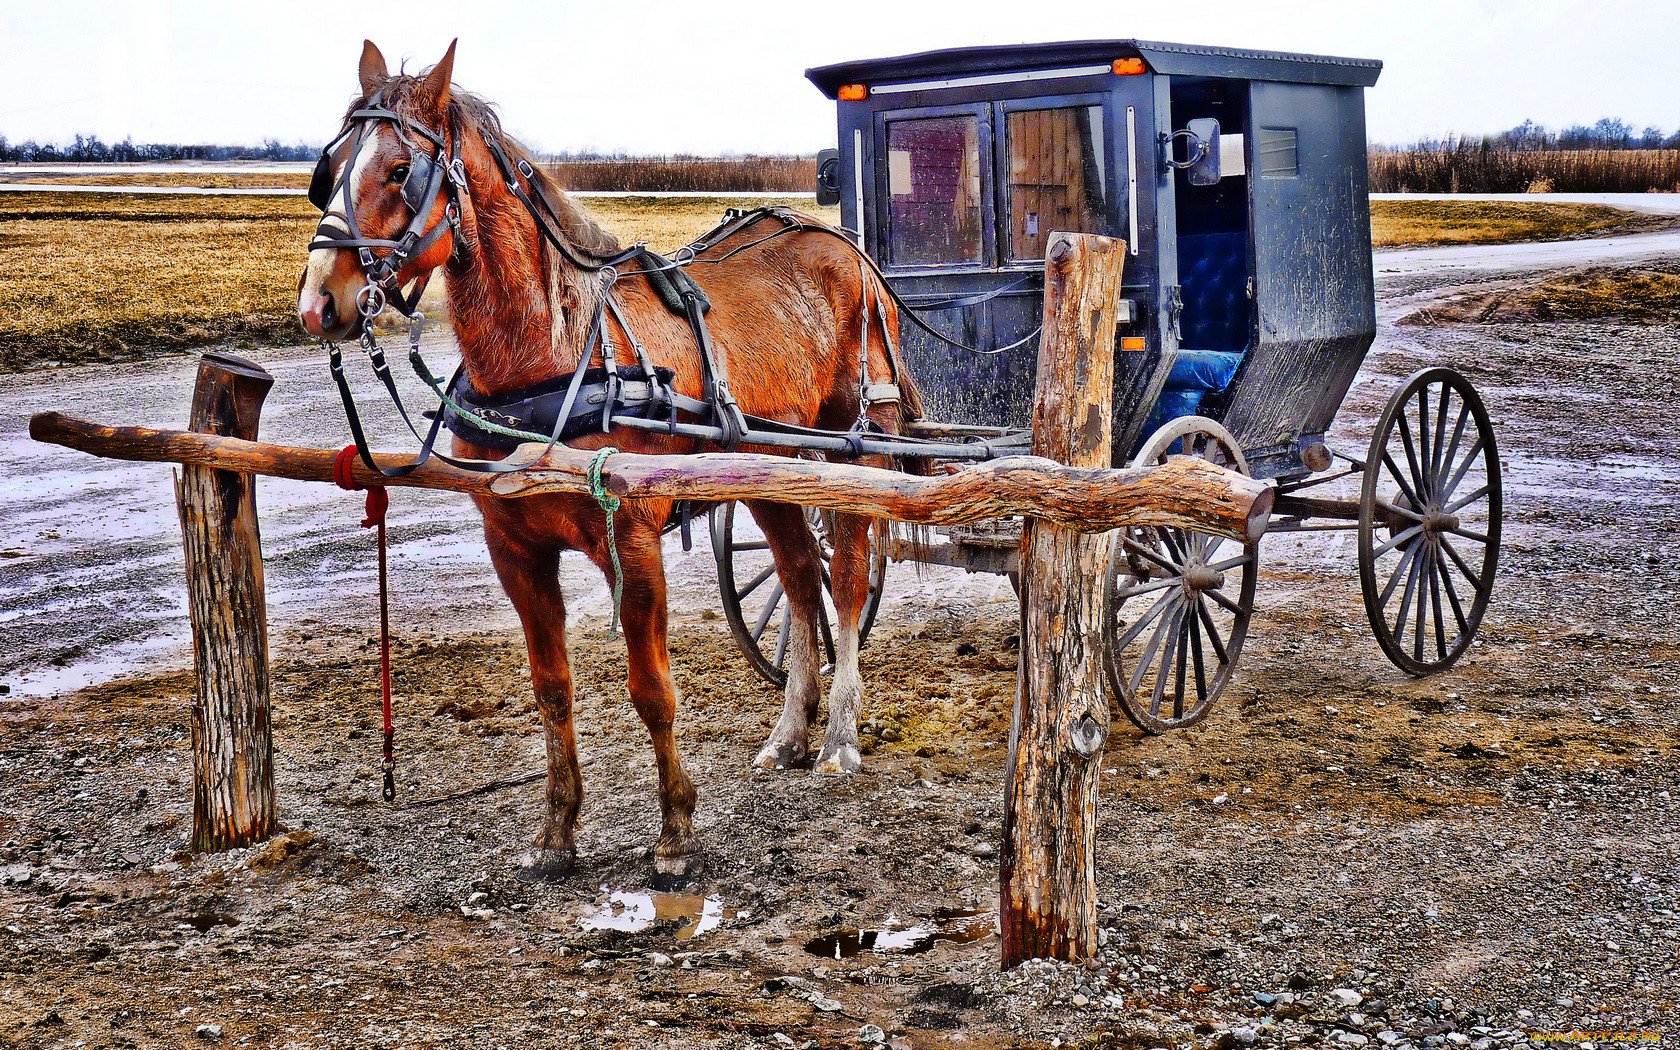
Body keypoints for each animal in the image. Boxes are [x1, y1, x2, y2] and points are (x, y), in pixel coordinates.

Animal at [288, 40, 920, 887]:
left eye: (398, 171)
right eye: (329, 167)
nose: (320, 302)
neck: (551, 359)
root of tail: (839, 245)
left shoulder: (634, 541)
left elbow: (652, 690)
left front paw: (675, 831)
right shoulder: (514, 549)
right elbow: (551, 689)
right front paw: (557, 831)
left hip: (851, 451)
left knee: (845, 579)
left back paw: (842, 734)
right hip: (767, 463)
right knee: (795, 575)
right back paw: (791, 732)